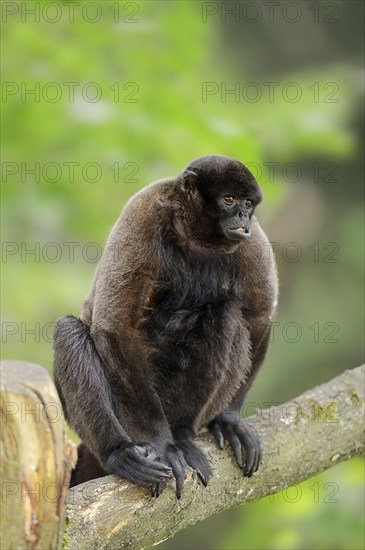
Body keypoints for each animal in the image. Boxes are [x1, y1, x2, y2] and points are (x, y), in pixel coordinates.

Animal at [53, 155, 276, 500]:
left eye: (248, 203)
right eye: (229, 200)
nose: (242, 215)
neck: (194, 237)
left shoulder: (253, 241)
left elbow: (259, 317)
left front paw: (228, 419)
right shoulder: (144, 212)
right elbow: (116, 326)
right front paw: (160, 446)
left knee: (226, 310)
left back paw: (184, 434)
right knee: (68, 332)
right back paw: (120, 453)